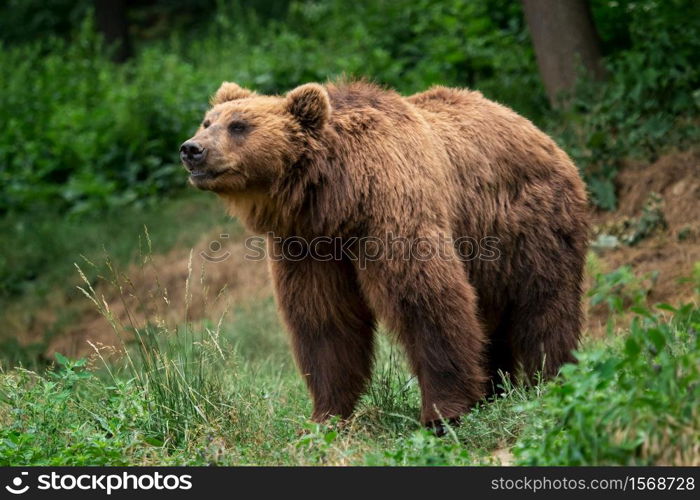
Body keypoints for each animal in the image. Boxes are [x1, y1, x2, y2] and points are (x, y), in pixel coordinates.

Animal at [180, 80, 592, 428]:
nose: (191, 149)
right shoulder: (308, 245)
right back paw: (495, 388)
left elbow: (425, 301)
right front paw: (325, 416)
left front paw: (443, 412)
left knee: (544, 303)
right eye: (207, 121)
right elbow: (323, 320)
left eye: (239, 125)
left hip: (529, 225)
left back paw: (552, 377)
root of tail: (539, 132)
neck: (339, 198)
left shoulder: (391, 210)